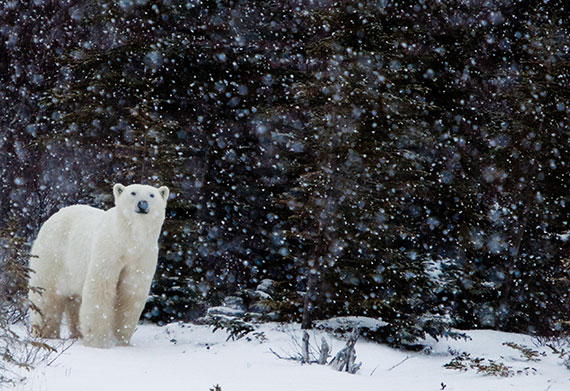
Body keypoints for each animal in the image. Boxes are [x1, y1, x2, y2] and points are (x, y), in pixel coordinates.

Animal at [28, 185, 168, 350]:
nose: (142, 204)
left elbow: (130, 293)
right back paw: (45, 334)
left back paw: (77, 334)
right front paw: (99, 342)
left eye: (152, 195)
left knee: (75, 301)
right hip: (53, 255)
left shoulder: (142, 257)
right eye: (133, 193)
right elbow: (100, 288)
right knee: (46, 296)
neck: (129, 239)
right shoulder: (108, 249)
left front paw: (122, 341)